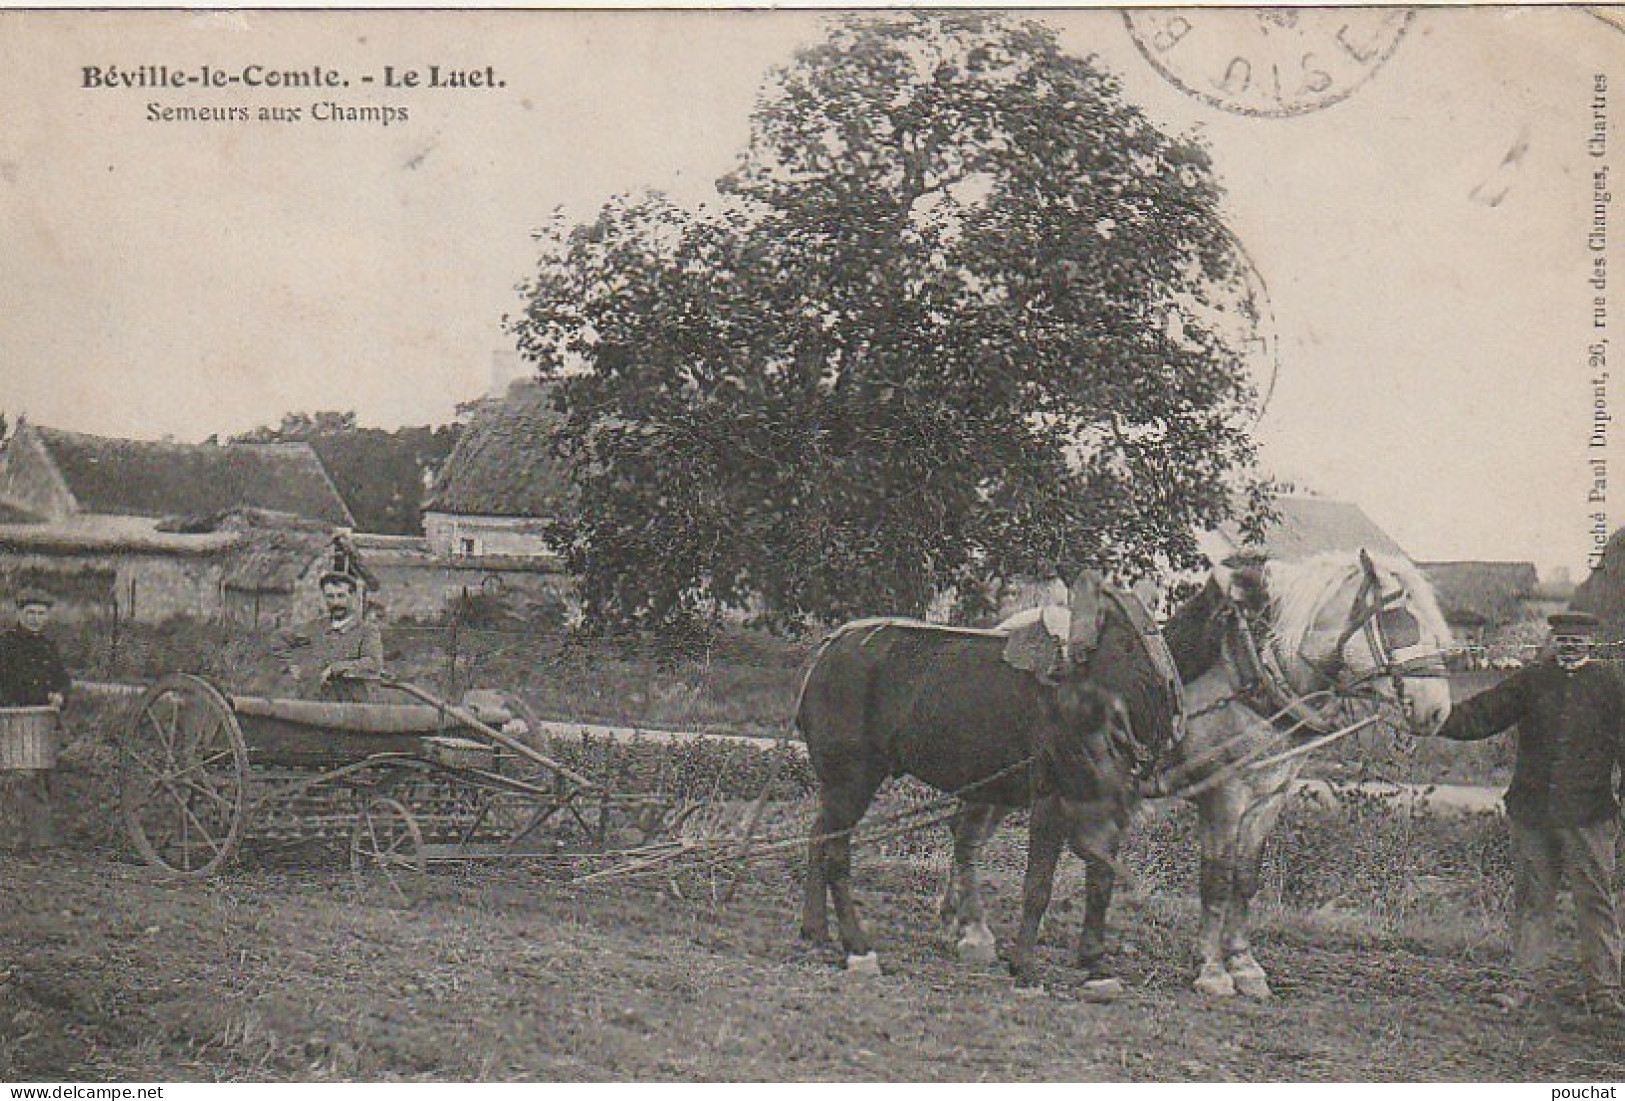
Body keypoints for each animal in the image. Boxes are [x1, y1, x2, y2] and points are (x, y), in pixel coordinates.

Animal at [799, 578, 1183, 980]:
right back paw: (857, 945)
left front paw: (1093, 957)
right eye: (1127, 645)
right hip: (852, 780)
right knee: (836, 855)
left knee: (818, 836)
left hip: (839, 786)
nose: (1171, 707)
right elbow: (1038, 884)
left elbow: (1101, 879)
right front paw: (1024, 962)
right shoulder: (1051, 798)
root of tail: (825, 653)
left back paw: (816, 928)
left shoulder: (1109, 807)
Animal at [949, 552, 1456, 1000]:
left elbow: (1246, 879)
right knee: (968, 835)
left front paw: (1245, 965)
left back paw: (955, 919)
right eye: (1398, 619)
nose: (1437, 711)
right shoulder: (1225, 796)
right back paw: (973, 932)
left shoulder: (1268, 796)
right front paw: (1212, 971)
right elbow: (1216, 879)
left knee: (967, 833)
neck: (1253, 684)